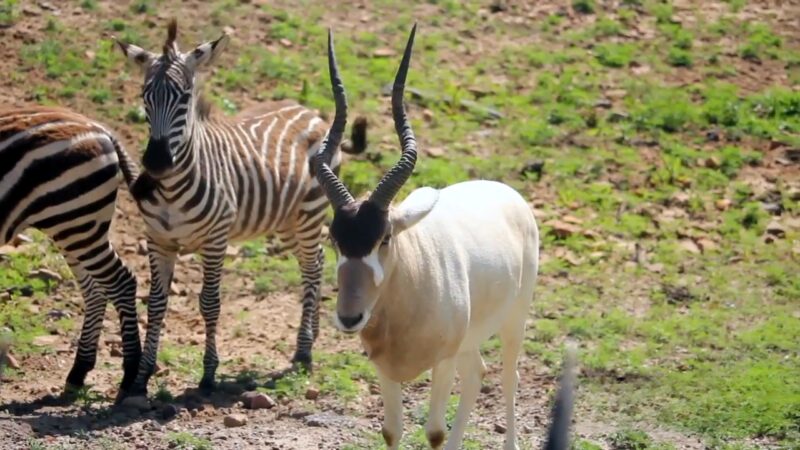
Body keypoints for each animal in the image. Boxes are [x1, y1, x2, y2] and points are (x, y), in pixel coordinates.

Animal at [0, 106, 142, 400]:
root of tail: (99, 128)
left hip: (75, 222)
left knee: (121, 281)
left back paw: (129, 375)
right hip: (75, 226)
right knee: (95, 290)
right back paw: (78, 372)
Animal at [114, 19, 368, 396]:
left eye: (185, 98)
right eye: (145, 97)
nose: (156, 163)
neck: (173, 189)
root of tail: (312, 113)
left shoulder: (215, 240)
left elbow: (209, 303)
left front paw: (208, 375)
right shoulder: (158, 242)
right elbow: (156, 305)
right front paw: (142, 377)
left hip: (310, 212)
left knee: (311, 267)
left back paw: (304, 352)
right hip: (287, 221)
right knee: (317, 261)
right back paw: (311, 338)